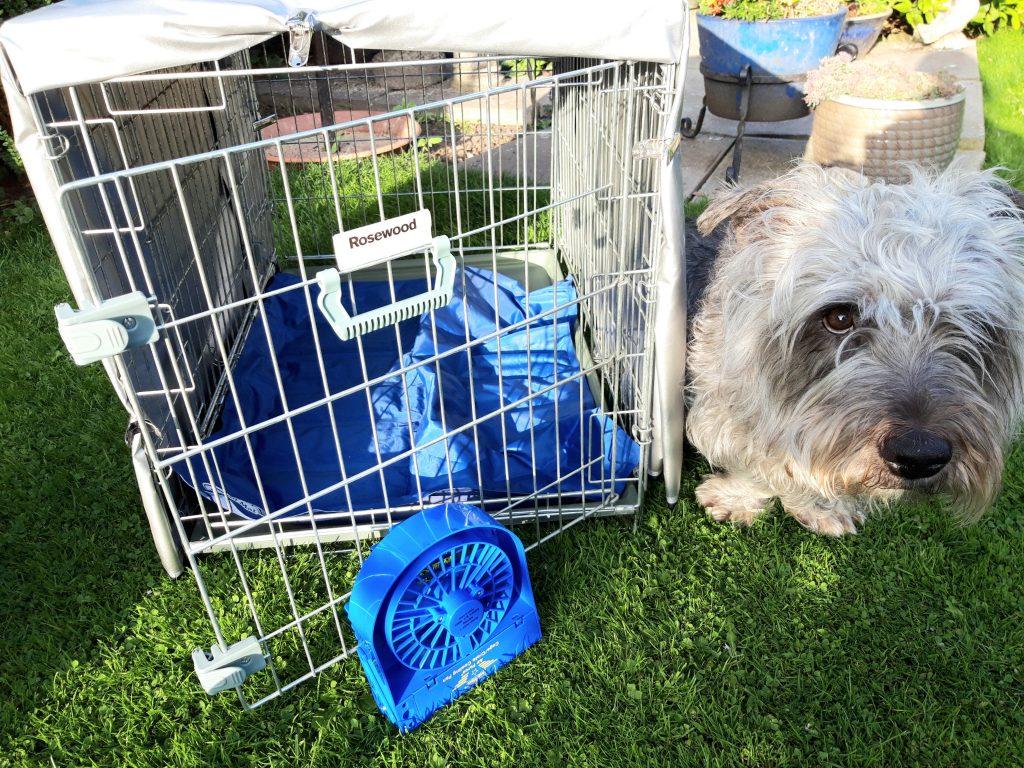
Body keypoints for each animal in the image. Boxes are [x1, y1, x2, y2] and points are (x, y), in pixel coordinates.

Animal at [684, 162, 1024, 536]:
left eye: (967, 321)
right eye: (839, 316)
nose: (919, 455)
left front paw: (818, 504)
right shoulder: (729, 407)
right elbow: (751, 459)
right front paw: (739, 498)